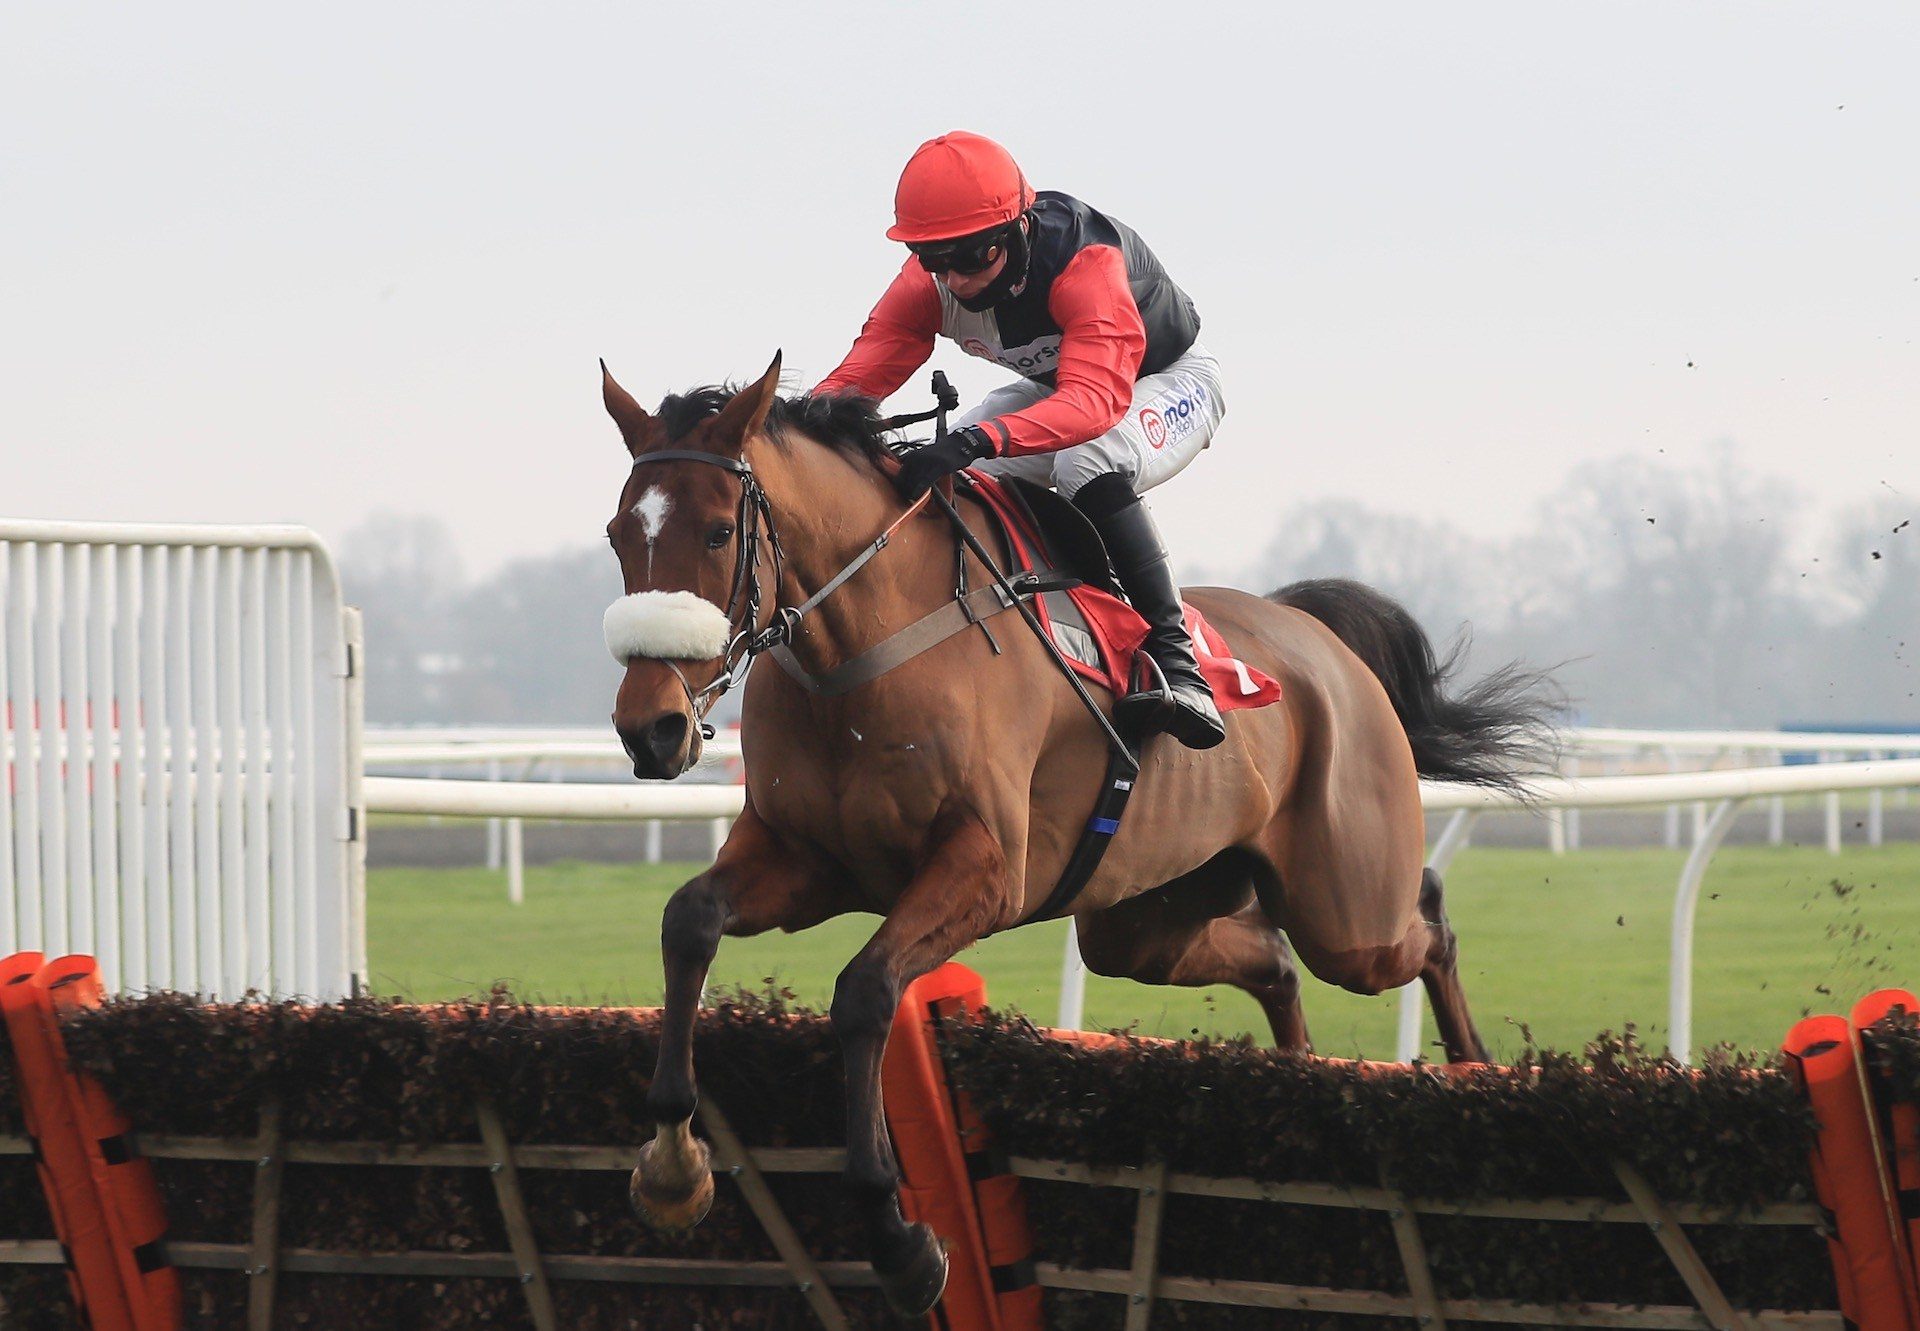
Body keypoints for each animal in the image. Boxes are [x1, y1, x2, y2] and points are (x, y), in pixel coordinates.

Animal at [599, 349, 1559, 1306]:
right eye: (616, 533)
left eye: (717, 533)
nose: (651, 728)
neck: (869, 645)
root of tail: (1319, 635)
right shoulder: (806, 857)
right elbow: (689, 919)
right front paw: (674, 1168)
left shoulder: (987, 869)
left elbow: (866, 991)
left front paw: (899, 1237)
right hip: (1148, 920)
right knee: (1274, 962)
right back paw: (1297, 1073)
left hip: (1348, 910)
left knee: (1424, 920)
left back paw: (1476, 1072)